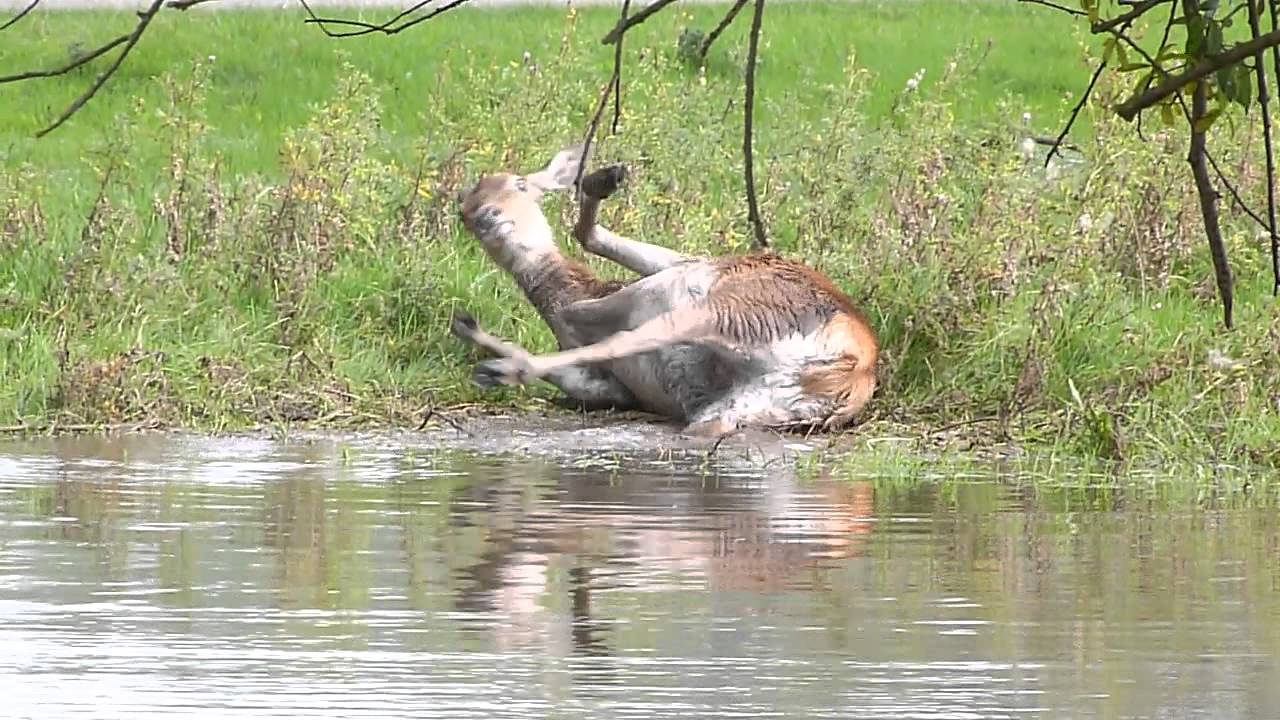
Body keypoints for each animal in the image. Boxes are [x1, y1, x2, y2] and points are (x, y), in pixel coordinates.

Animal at [450, 144, 879, 438]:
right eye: (464, 210)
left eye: (520, 184)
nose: (486, 215)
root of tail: (851, 368)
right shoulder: (613, 385)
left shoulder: (665, 283)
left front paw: (606, 177)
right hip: (744, 404)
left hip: (730, 310)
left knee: (629, 336)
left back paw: (498, 367)